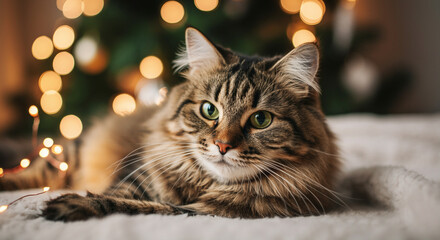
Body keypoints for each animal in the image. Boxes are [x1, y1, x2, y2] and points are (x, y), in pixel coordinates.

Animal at [0, 27, 340, 220]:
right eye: (209, 110)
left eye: (261, 119)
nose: (222, 146)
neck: (204, 183)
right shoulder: (135, 176)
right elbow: (122, 195)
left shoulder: (211, 212)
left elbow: (139, 206)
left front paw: (71, 204)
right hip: (66, 154)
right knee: (29, 171)